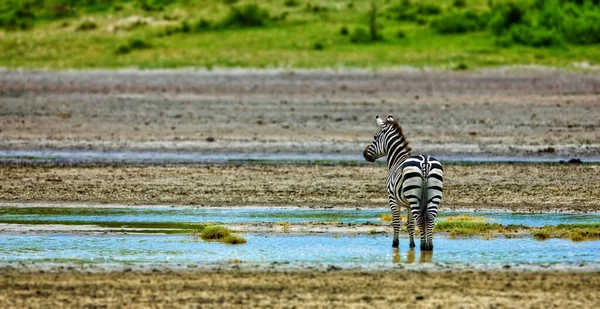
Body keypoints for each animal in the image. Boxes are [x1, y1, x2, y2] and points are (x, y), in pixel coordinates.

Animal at [364, 114, 442, 249]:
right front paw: (412, 245)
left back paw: (423, 246)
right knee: (430, 218)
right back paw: (429, 247)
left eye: (375, 137)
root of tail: (425, 162)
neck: (397, 159)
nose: (365, 154)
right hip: (433, 195)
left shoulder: (392, 199)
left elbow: (396, 222)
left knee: (420, 219)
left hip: (414, 197)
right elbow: (410, 224)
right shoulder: (409, 204)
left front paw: (395, 244)